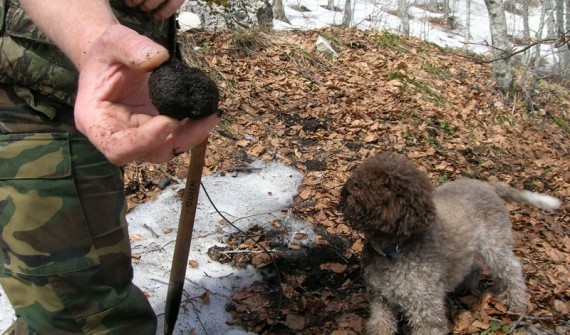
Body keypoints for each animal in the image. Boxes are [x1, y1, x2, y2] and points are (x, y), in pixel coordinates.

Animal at [338, 153, 560, 335]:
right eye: (363, 172)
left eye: (386, 185)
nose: (354, 183)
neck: (393, 250)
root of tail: (484, 185)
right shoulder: (380, 300)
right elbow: (380, 325)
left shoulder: (426, 309)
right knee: (475, 265)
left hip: (496, 246)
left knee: (511, 270)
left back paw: (517, 305)